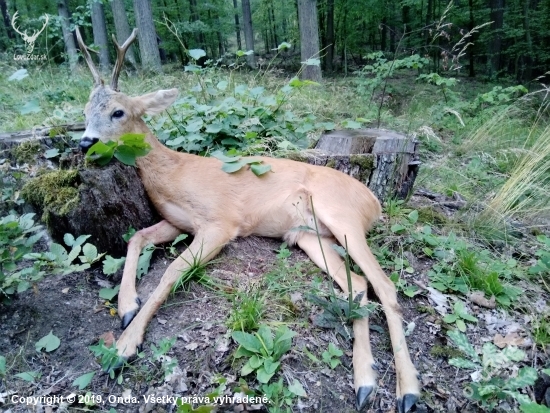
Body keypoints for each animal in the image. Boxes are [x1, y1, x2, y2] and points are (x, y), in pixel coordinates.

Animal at [76, 27, 422, 410]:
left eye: (118, 112)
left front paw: (125, 345)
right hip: (310, 236)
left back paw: (407, 390)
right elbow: (136, 237)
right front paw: (126, 306)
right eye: (85, 110)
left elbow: (172, 271)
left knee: (385, 286)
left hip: (342, 216)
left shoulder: (220, 222)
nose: (85, 142)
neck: (172, 174)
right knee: (358, 285)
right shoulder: (178, 221)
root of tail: (375, 201)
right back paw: (364, 382)